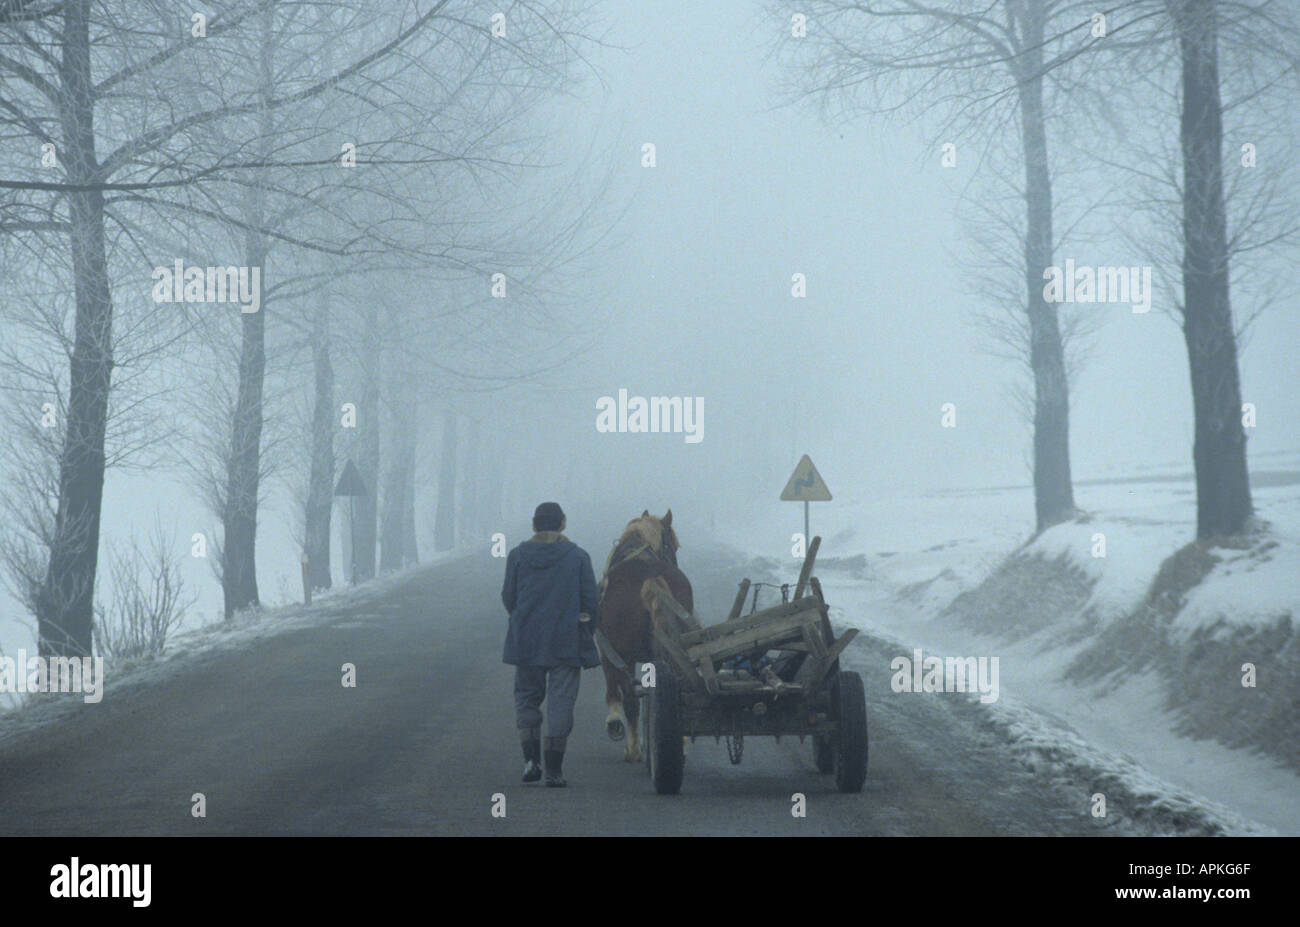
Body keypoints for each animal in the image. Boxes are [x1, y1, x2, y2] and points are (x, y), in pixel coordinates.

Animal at [595, 507, 691, 759]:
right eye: (672, 546)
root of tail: (653, 580)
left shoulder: (607, 651)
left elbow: (615, 691)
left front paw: (614, 722)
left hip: (625, 656)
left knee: (630, 699)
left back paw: (634, 750)